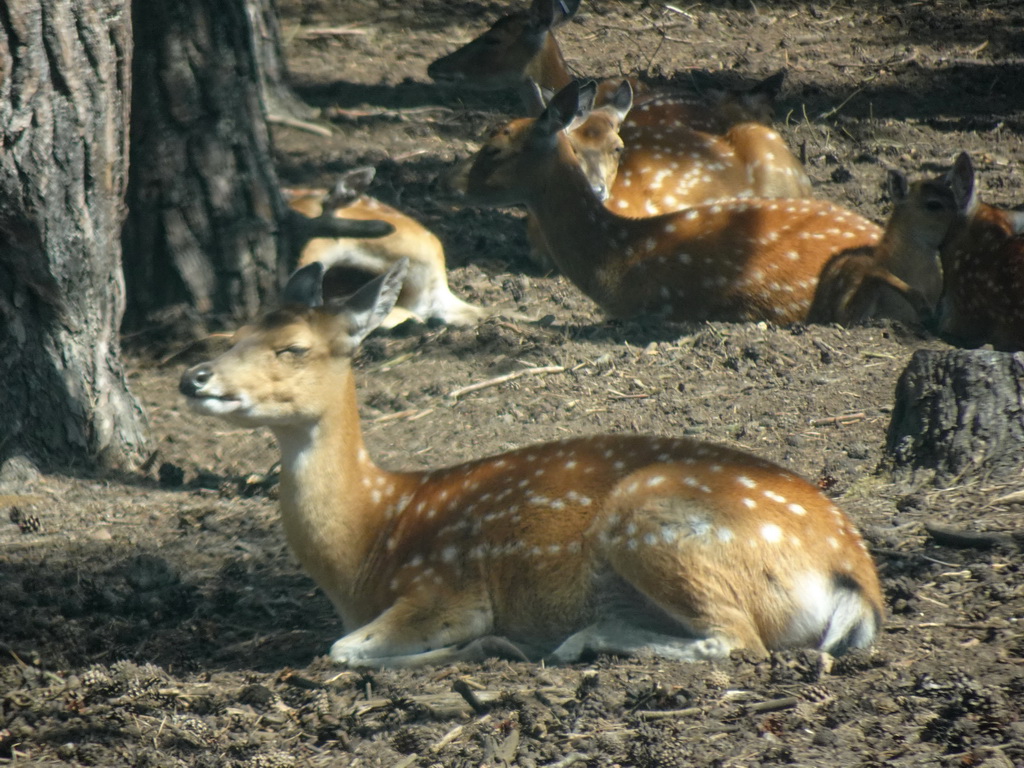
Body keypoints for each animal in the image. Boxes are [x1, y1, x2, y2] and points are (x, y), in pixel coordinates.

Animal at [180, 259, 884, 667]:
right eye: (236, 333)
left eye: (292, 348)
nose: (194, 377)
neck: (368, 544)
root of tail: (857, 584)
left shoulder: (445, 589)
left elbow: (342, 650)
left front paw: (486, 645)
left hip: (657, 524)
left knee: (738, 640)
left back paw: (578, 640)